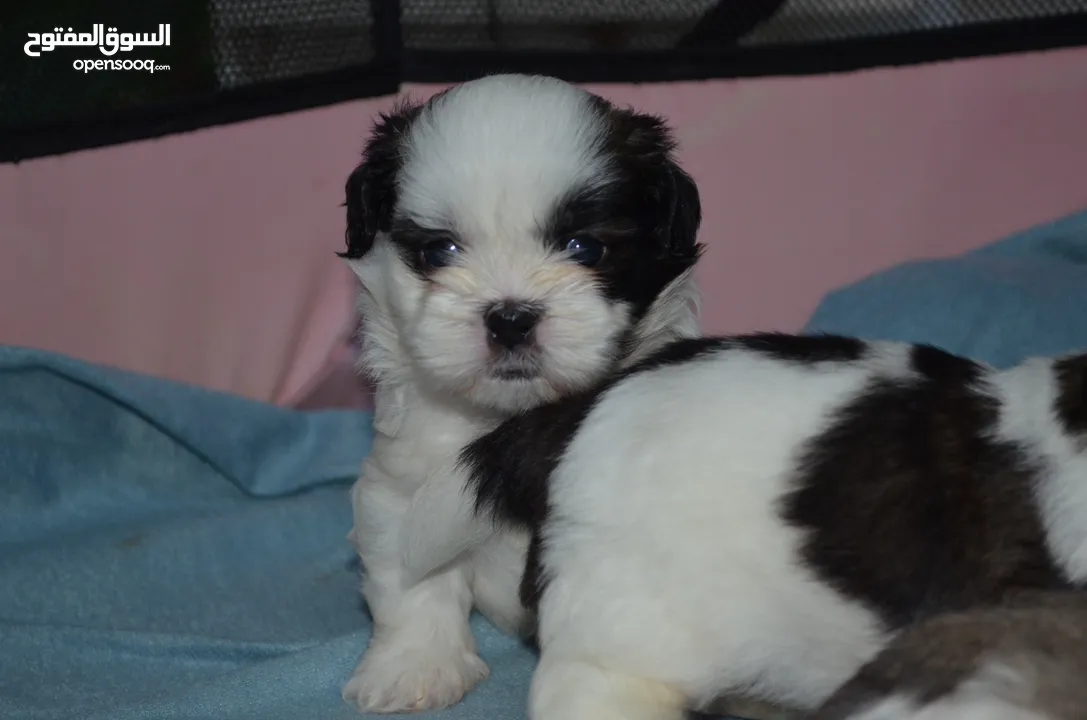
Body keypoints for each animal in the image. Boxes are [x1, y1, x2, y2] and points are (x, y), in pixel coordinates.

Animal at [339, 74, 704, 717]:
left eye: (584, 247)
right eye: (439, 251)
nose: (510, 318)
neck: (515, 418)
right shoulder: (404, 484)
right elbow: (411, 580)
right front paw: (415, 670)